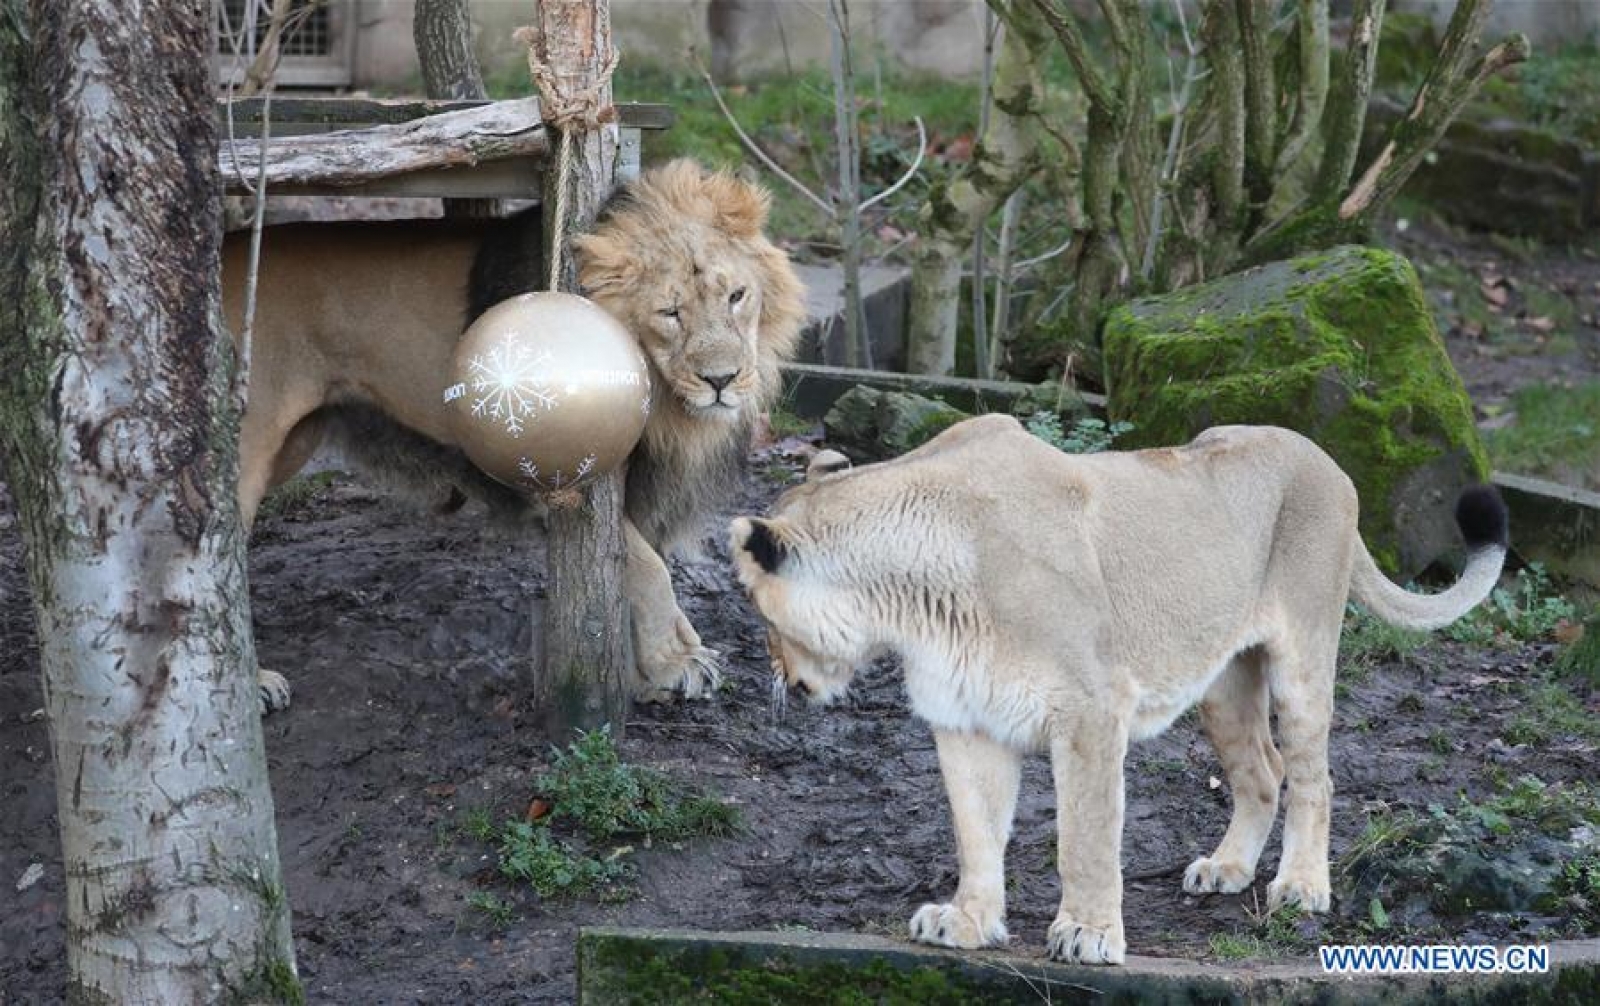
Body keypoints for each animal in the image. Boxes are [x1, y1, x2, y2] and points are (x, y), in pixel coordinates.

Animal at [224, 160, 800, 710]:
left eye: (737, 296)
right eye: (670, 312)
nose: (723, 380)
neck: (665, 403)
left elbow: (635, 579)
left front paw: (656, 672)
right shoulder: (549, 469)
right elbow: (648, 568)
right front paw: (671, 664)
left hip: (296, 441)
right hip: (248, 450)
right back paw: (255, 683)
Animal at [732, 415, 1504, 966]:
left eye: (758, 611)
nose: (778, 674)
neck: (912, 600)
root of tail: (1325, 457)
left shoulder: (1090, 711)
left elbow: (1085, 835)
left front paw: (1088, 934)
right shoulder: (967, 719)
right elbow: (974, 833)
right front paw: (969, 921)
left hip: (1305, 657)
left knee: (1314, 775)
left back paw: (1302, 887)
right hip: (1222, 678)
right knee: (1263, 771)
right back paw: (1226, 869)